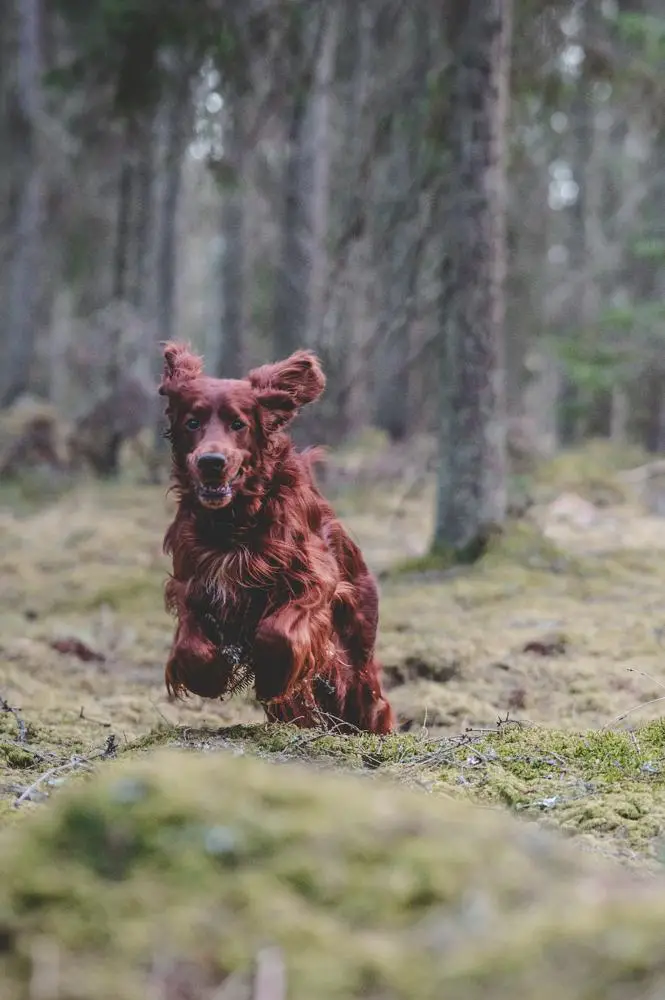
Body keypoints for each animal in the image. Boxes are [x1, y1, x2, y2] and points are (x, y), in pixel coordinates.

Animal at [157, 344, 394, 736]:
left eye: (238, 423)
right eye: (192, 422)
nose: (211, 462)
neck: (234, 521)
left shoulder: (313, 580)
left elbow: (277, 632)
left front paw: (270, 676)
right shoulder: (192, 583)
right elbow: (192, 646)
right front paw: (211, 676)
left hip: (357, 647)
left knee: (367, 697)